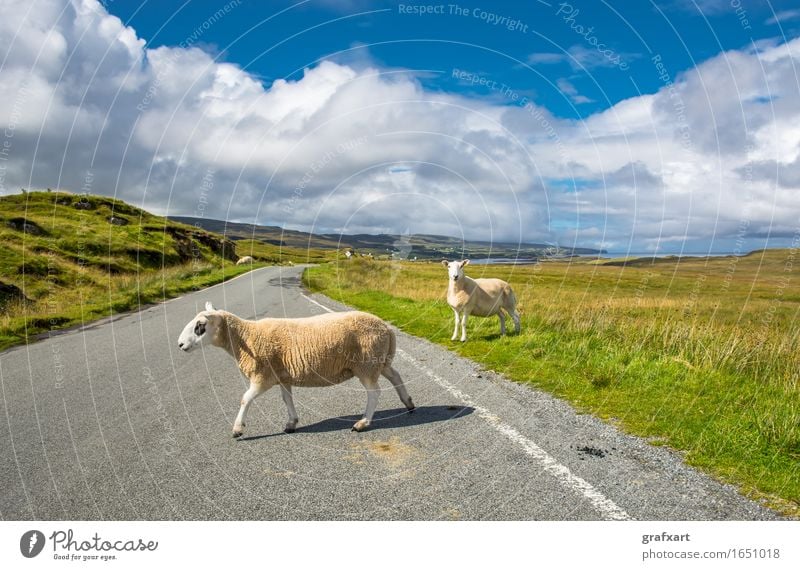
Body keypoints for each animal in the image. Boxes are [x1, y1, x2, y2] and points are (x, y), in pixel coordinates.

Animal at [178, 302, 416, 434]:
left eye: (200, 326)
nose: (180, 345)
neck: (245, 337)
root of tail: (386, 327)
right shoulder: (282, 375)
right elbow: (286, 399)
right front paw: (291, 423)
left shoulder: (263, 376)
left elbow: (245, 399)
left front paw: (237, 429)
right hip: (379, 361)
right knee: (396, 376)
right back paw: (409, 403)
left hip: (366, 364)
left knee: (374, 392)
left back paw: (363, 423)